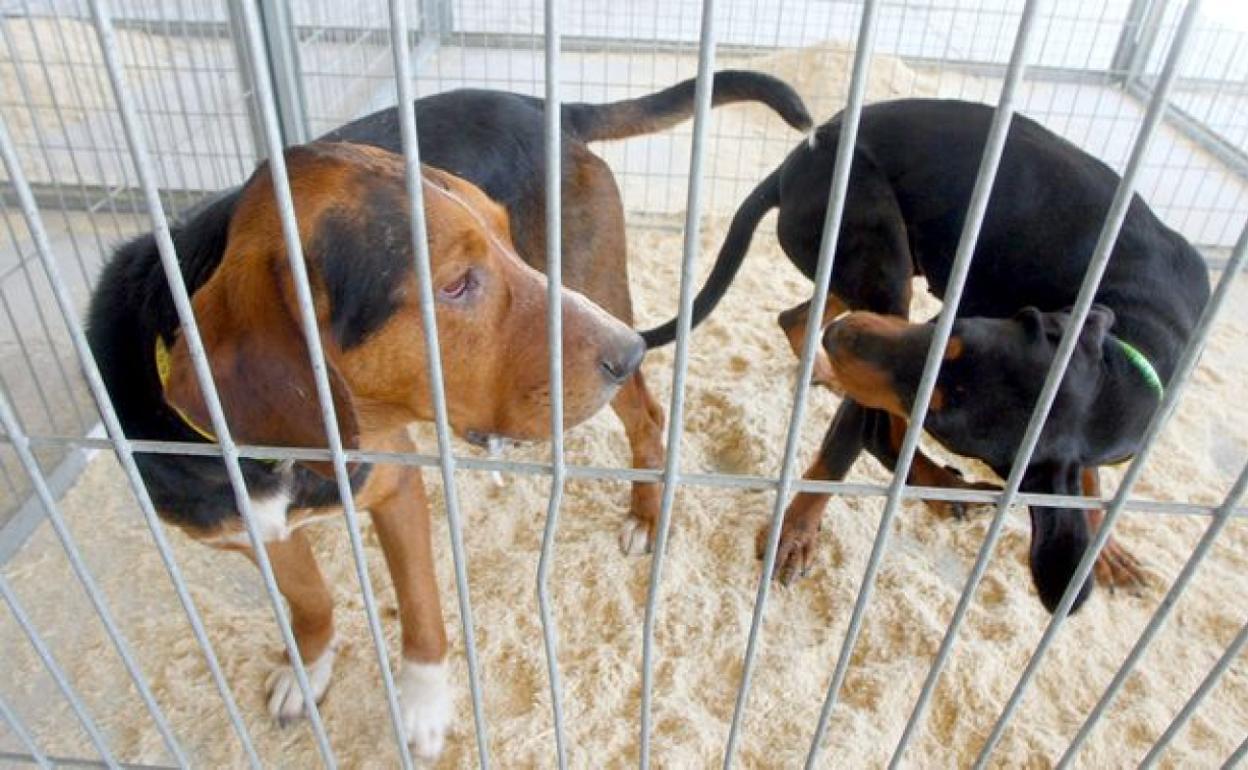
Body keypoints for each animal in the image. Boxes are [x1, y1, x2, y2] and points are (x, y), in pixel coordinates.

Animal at [90, 142, 643, 758]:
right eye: (455, 285)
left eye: (507, 239)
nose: (630, 351)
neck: (273, 464)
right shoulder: (251, 533)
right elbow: (310, 601)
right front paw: (307, 671)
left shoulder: (396, 482)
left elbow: (421, 608)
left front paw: (423, 705)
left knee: (650, 418)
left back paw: (646, 516)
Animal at [643, 97, 1208, 611]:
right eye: (952, 332)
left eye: (939, 420)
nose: (842, 340)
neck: (1138, 343)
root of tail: (792, 165)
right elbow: (840, 455)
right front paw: (795, 534)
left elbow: (1084, 479)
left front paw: (1103, 550)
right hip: (874, 245)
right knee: (873, 422)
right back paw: (934, 482)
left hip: (864, 272)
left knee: (800, 320)